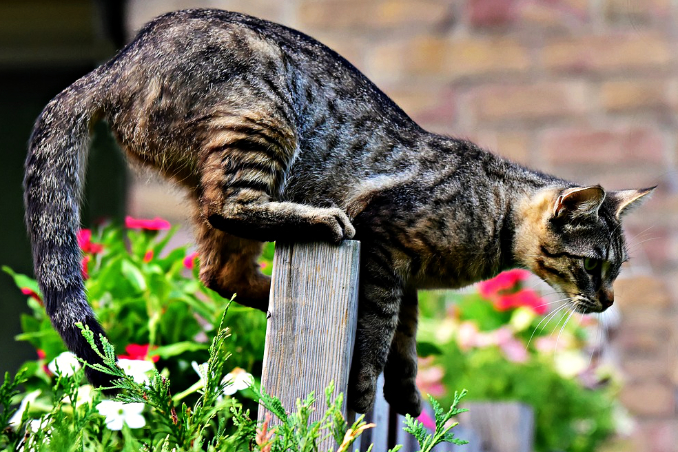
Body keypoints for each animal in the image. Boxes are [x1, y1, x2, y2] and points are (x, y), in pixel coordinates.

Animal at [23, 7, 656, 416]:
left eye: (615, 270)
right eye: (594, 265)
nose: (608, 301)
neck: (493, 215)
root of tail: (114, 64)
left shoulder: (406, 278)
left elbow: (406, 339)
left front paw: (406, 393)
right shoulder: (385, 247)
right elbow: (377, 338)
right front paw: (363, 395)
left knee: (218, 271)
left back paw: (269, 298)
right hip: (260, 123)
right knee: (233, 210)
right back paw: (319, 222)